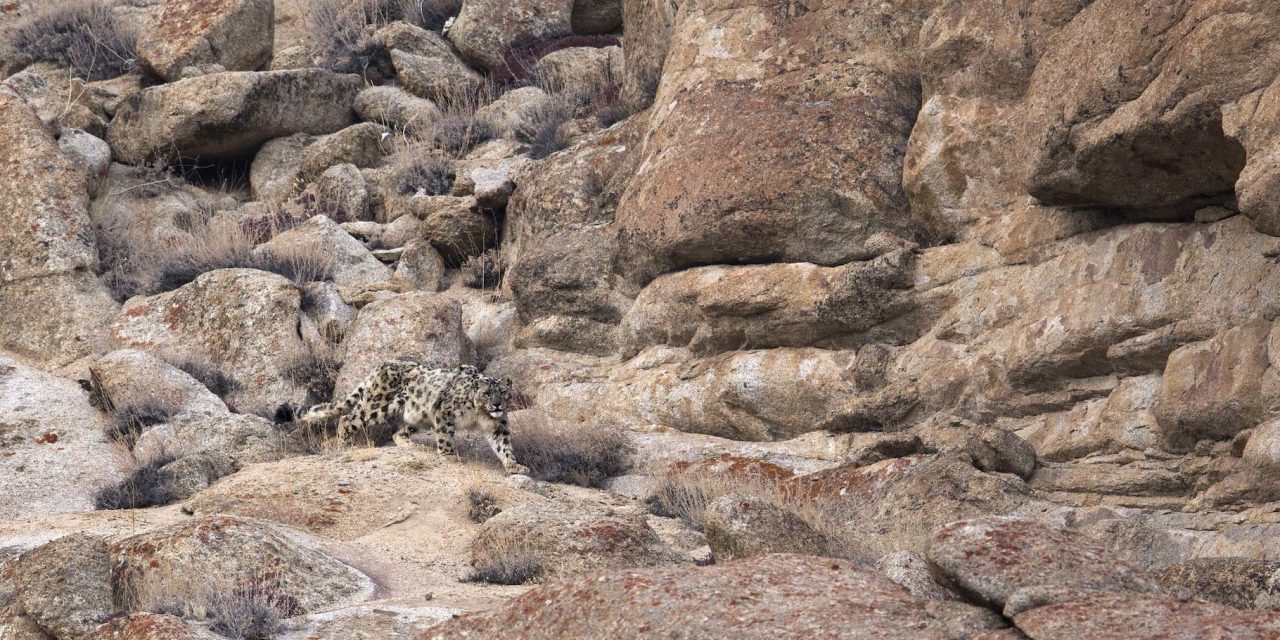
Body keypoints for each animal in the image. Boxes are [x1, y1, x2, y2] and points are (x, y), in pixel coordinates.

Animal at [273, 359, 529, 475]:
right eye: (487, 393)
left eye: (503, 392)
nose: (496, 404)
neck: (481, 414)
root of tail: (382, 364)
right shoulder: (445, 412)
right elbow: (446, 437)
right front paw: (449, 456)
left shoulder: (498, 426)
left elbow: (504, 446)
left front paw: (514, 465)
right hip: (377, 406)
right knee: (349, 418)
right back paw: (344, 444)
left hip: (417, 415)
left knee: (398, 432)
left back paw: (413, 446)